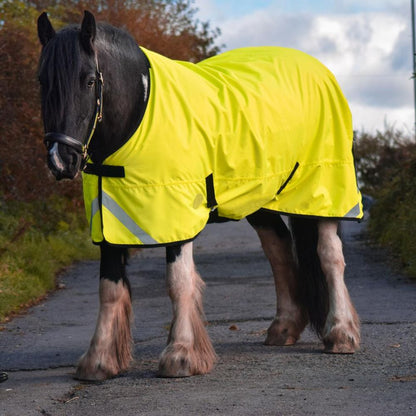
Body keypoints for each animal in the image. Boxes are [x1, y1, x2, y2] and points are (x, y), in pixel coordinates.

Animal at [36, 10, 360, 380]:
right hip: (259, 200)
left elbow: (179, 281)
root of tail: (320, 71)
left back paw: (341, 333)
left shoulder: (176, 217)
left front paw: (181, 355)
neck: (139, 115)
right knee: (278, 250)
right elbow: (109, 288)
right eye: (42, 81)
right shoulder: (108, 221)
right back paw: (285, 328)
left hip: (325, 191)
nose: (61, 160)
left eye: (89, 80)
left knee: (329, 255)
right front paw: (99, 360)